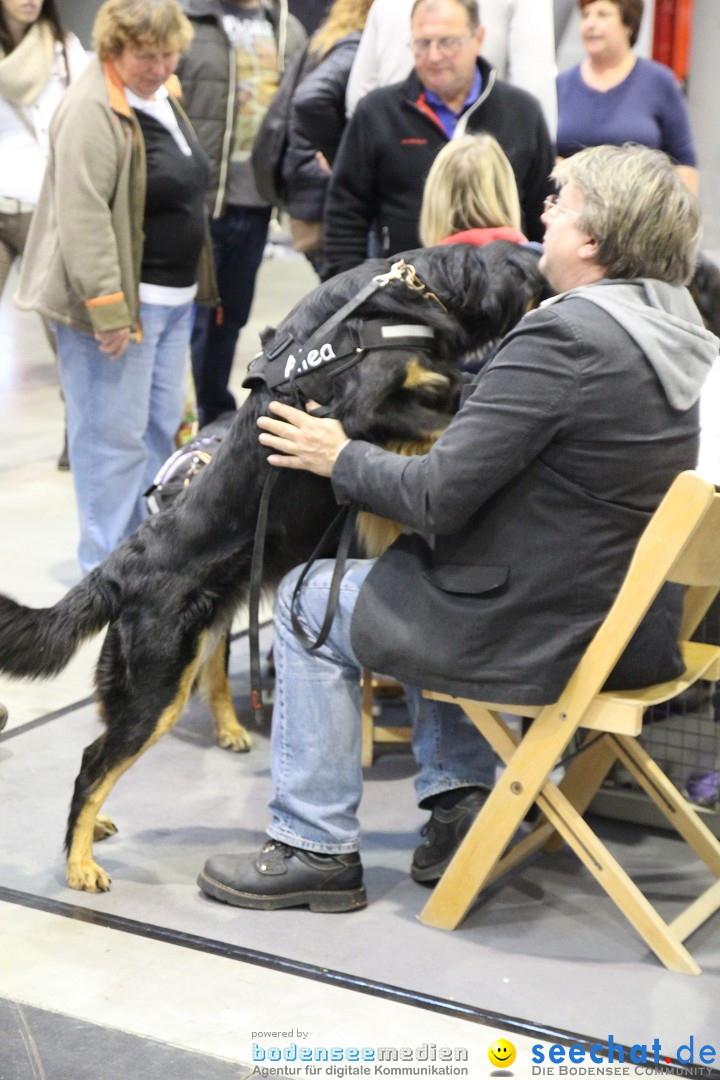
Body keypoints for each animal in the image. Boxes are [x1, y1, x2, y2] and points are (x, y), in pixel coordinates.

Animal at [0, 240, 548, 889]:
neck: (406, 292)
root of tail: (119, 565)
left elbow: (455, 396)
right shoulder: (360, 411)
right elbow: (441, 421)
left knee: (102, 750)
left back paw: (92, 832)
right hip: (160, 682)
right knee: (94, 763)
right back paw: (80, 863)